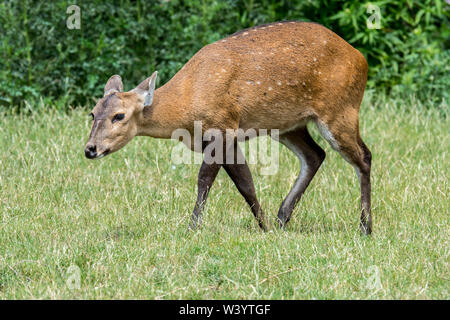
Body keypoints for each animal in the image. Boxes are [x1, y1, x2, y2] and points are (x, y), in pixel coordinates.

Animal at [85, 20, 372, 235]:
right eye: (92, 113)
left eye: (119, 116)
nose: (90, 149)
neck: (186, 104)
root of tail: (362, 59)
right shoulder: (227, 137)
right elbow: (245, 182)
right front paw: (265, 227)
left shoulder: (222, 125)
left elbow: (205, 179)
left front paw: (192, 228)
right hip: (288, 124)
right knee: (315, 155)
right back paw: (282, 218)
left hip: (340, 110)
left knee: (364, 156)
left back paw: (365, 227)